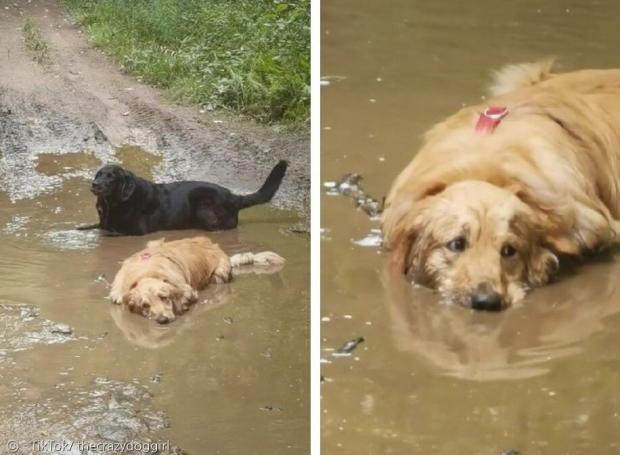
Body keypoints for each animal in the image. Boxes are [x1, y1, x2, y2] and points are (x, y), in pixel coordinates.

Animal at [77, 161, 288, 235]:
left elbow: (110, 231)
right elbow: (95, 226)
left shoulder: (136, 231)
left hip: (204, 207)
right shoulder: (103, 220)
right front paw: (82, 227)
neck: (114, 203)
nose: (95, 184)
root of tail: (234, 197)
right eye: (98, 174)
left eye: (111, 178)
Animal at [110, 237, 284, 322]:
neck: (146, 273)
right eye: (145, 305)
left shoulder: (186, 288)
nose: (163, 320)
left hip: (219, 273)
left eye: (164, 297)